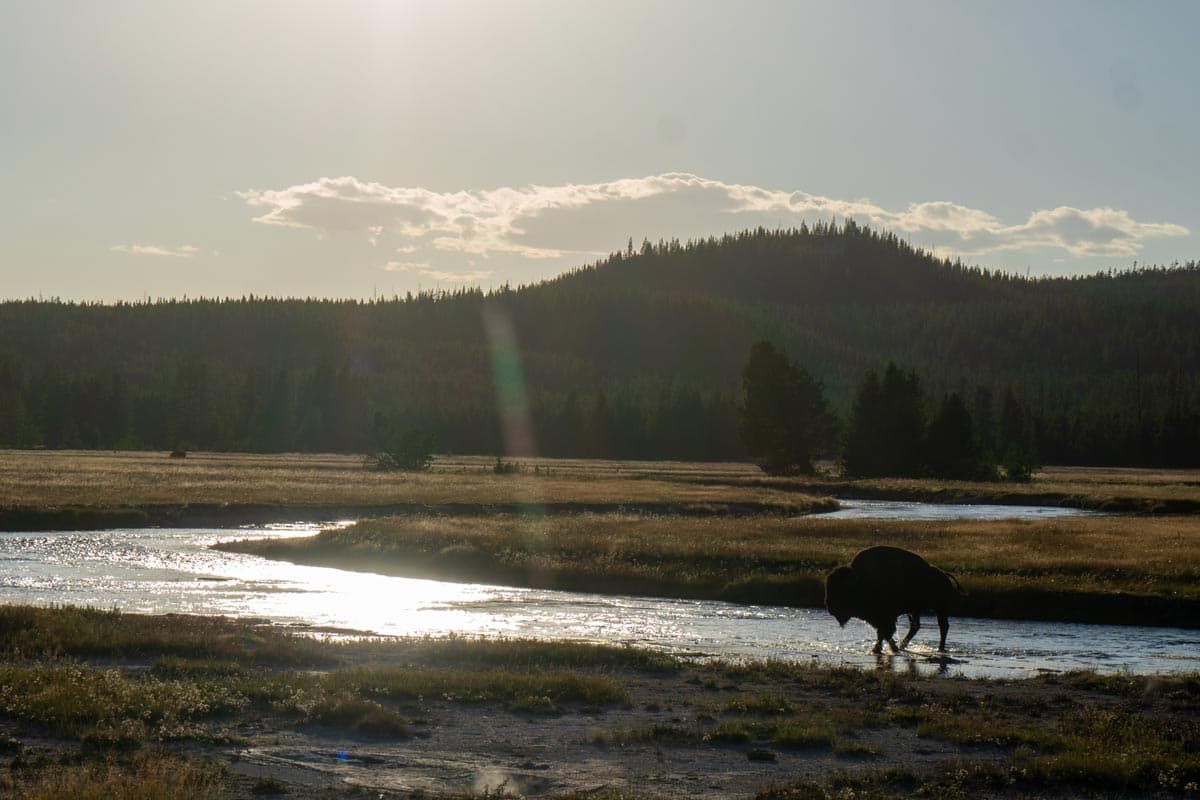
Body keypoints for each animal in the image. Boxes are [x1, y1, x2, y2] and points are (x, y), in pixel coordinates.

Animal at [825, 546, 964, 652]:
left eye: (842, 590)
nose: (830, 608)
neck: (862, 581)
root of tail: (944, 575)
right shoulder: (878, 618)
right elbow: (883, 633)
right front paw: (885, 648)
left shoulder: (885, 617)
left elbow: (885, 632)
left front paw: (883, 649)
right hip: (915, 611)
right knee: (916, 626)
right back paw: (903, 645)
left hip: (940, 609)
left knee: (943, 626)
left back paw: (940, 648)